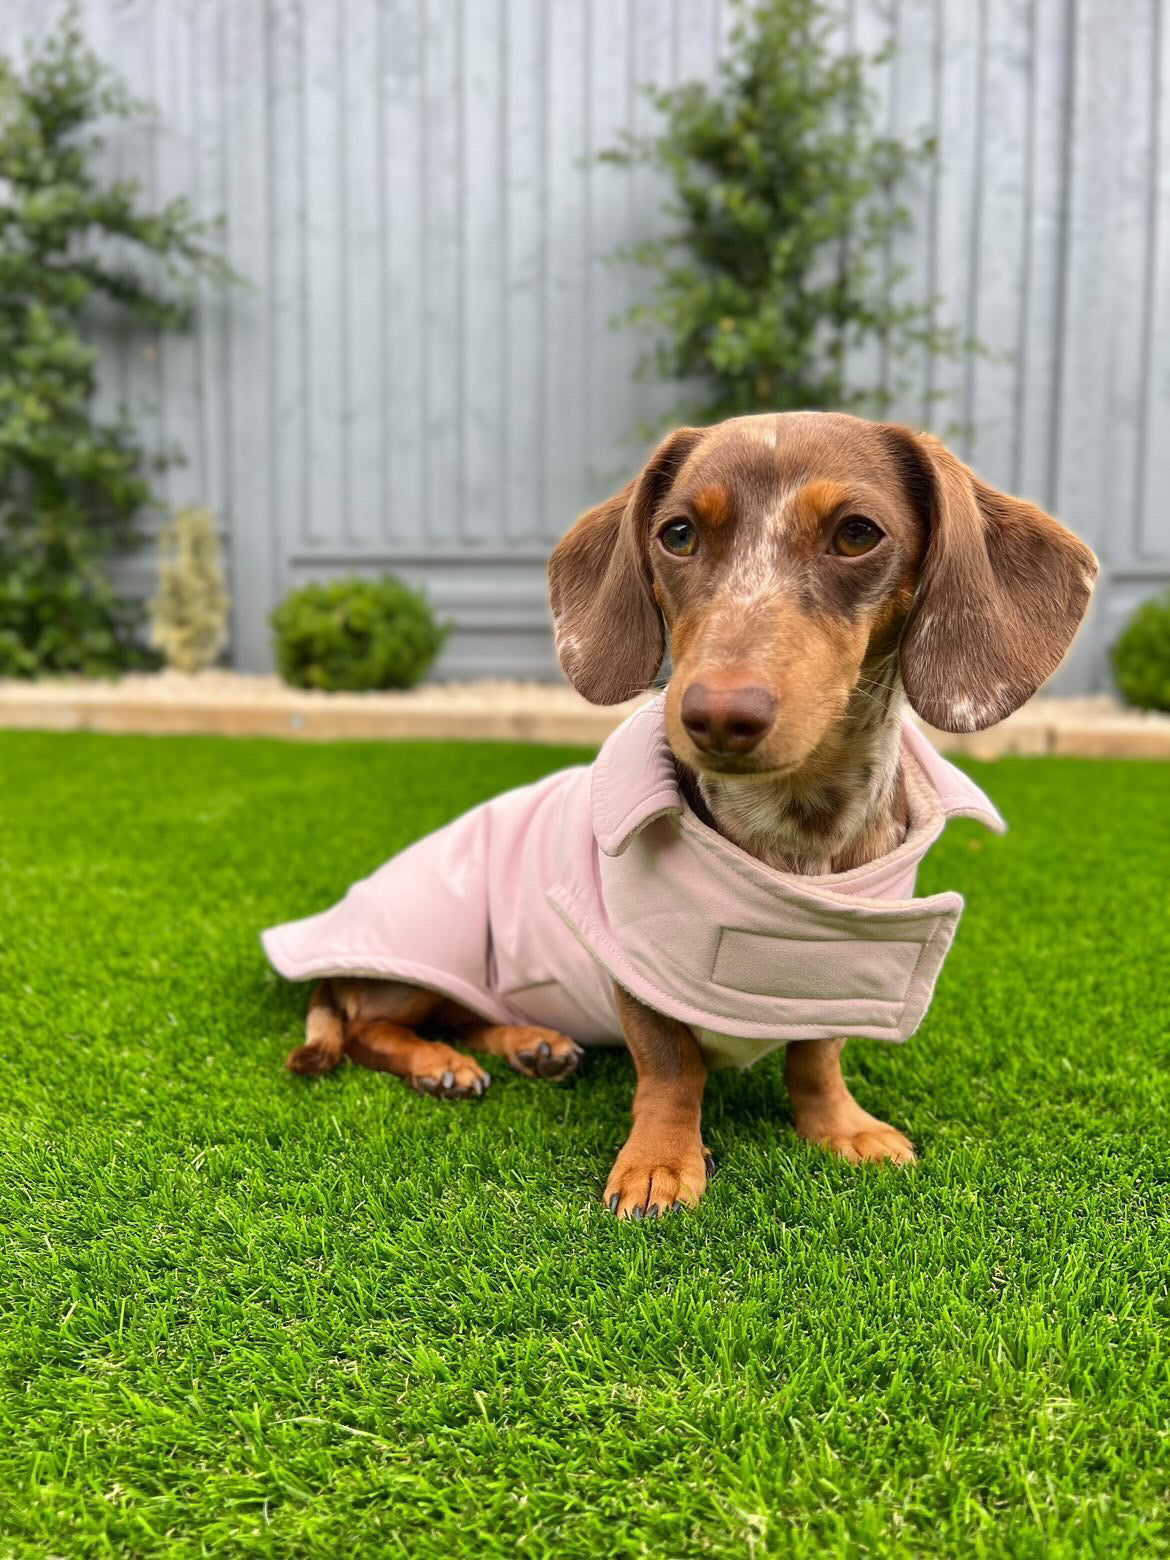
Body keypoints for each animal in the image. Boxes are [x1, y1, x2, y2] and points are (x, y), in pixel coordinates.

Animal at [265, 414, 1098, 1216]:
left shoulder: (842, 965)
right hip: (423, 955)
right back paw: (441, 1064)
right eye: (678, 534)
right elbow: (673, 1066)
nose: (717, 715)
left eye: (859, 533)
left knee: (460, 1014)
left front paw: (840, 1126)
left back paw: (531, 1042)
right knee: (374, 1026)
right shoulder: (636, 966)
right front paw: (660, 1163)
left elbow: (817, 1055)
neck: (795, 837)